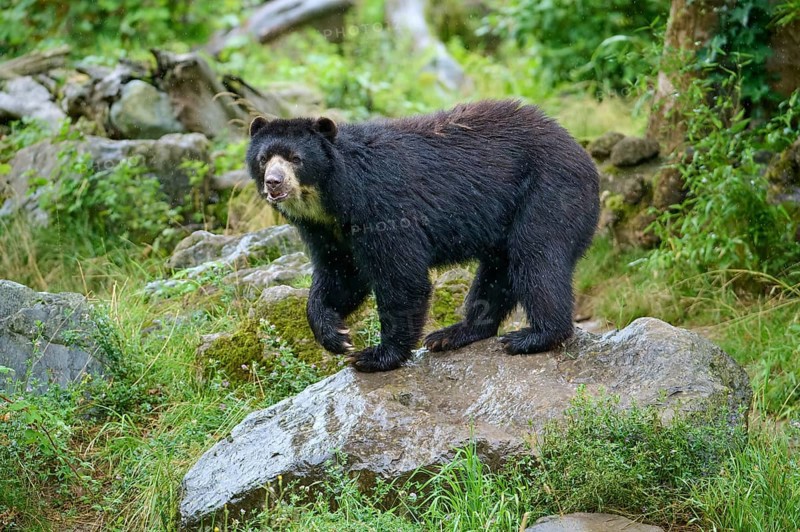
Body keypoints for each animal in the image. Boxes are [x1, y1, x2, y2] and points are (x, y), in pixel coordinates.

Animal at [246, 100, 599, 372]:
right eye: (263, 159)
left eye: (295, 158)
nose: (274, 182)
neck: (333, 198)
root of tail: (585, 156)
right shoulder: (326, 231)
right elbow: (340, 275)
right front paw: (335, 334)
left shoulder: (382, 208)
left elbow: (401, 278)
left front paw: (375, 355)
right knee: (498, 271)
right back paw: (454, 334)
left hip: (548, 193)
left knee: (535, 256)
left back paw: (533, 336)